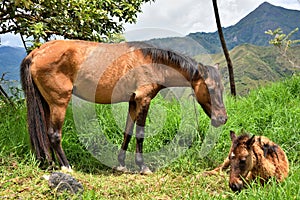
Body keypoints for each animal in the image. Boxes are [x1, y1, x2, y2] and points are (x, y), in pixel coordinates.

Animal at [20, 40, 227, 173]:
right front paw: (143, 166)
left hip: (47, 104)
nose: (222, 118)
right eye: (210, 88)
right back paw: (66, 166)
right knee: (54, 134)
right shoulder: (144, 99)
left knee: (46, 135)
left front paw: (121, 164)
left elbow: (128, 132)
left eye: (222, 87)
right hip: (59, 102)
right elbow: (140, 134)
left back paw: (51, 164)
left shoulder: (133, 101)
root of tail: (36, 53)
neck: (152, 62)